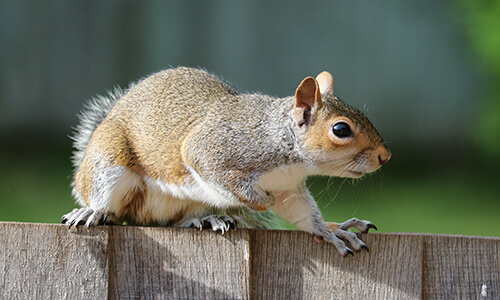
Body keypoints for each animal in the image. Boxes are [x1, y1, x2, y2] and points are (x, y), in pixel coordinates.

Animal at [62, 67, 390, 256]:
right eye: (341, 129)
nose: (384, 156)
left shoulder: (288, 188)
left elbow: (303, 215)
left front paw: (331, 231)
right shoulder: (213, 150)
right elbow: (217, 173)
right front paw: (259, 201)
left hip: (186, 204)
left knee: (171, 222)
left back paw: (206, 219)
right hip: (108, 164)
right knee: (110, 205)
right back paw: (92, 212)